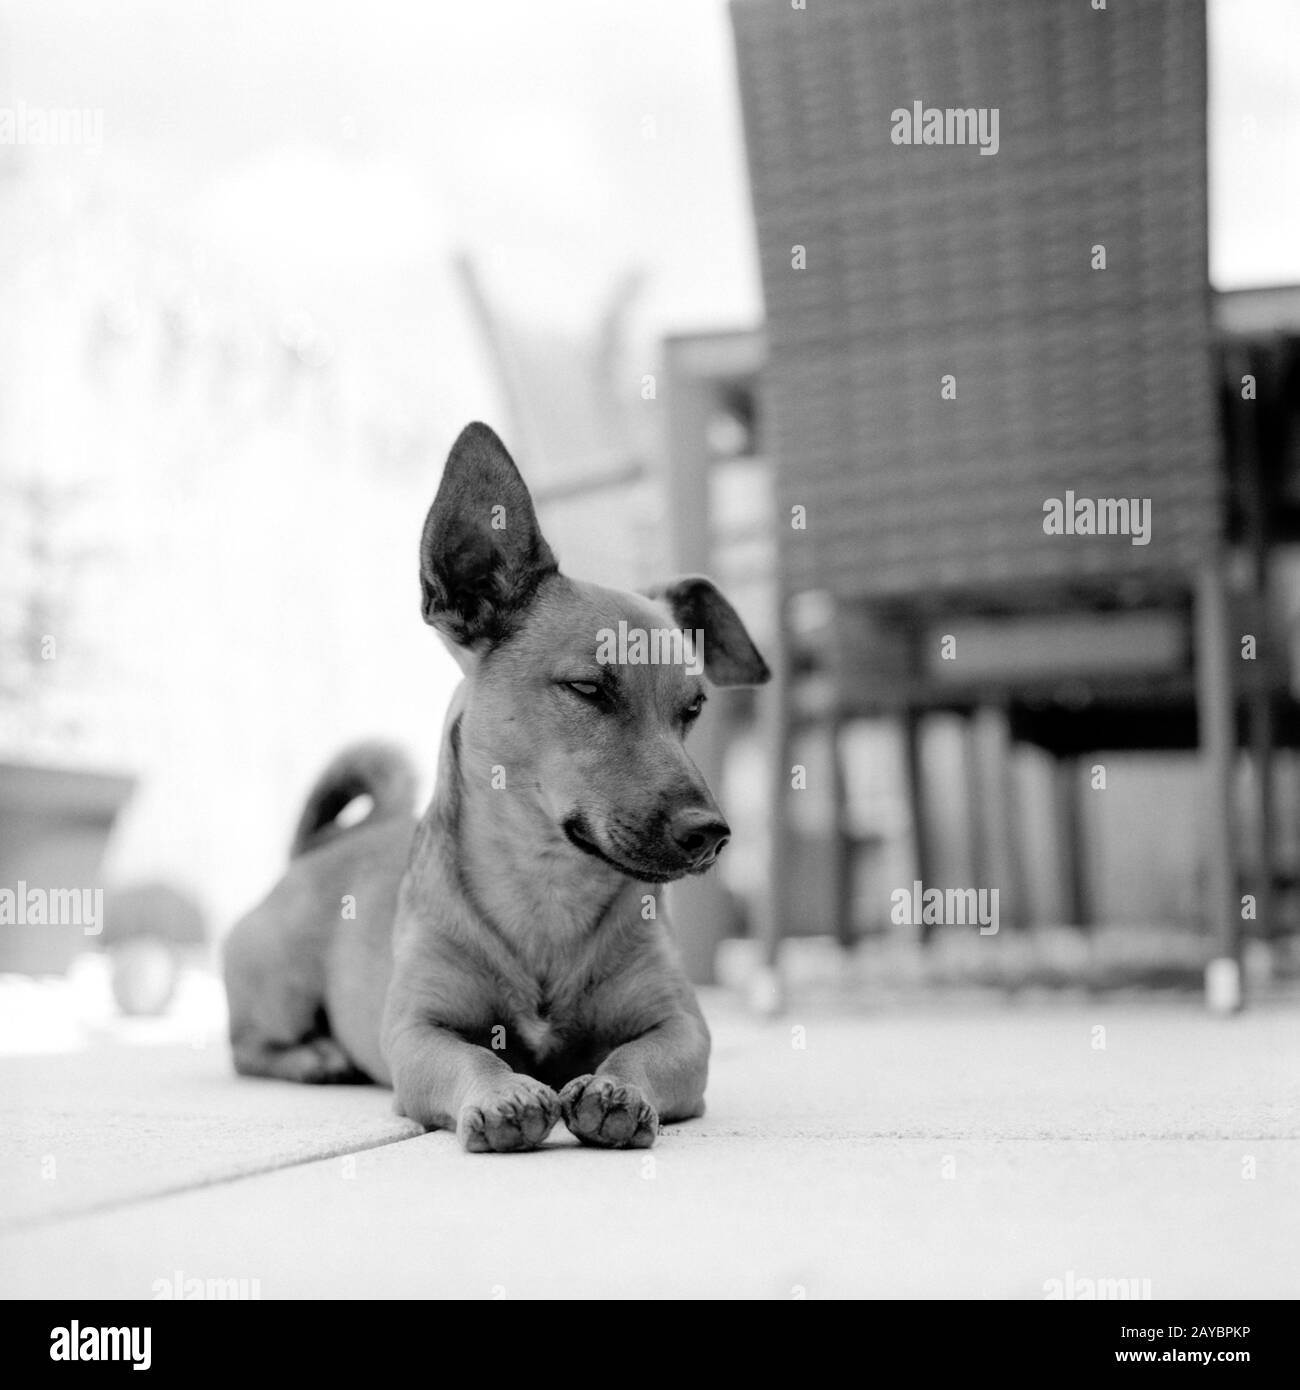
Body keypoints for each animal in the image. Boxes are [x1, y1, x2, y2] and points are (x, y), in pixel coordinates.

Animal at [225, 425, 773, 1150]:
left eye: (694, 709)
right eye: (588, 689)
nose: (711, 834)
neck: (547, 887)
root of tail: (315, 850)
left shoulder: (683, 1028)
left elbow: (640, 1054)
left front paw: (617, 1088)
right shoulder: (417, 1033)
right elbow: (472, 1056)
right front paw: (502, 1092)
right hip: (280, 986)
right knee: (246, 1046)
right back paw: (316, 1056)